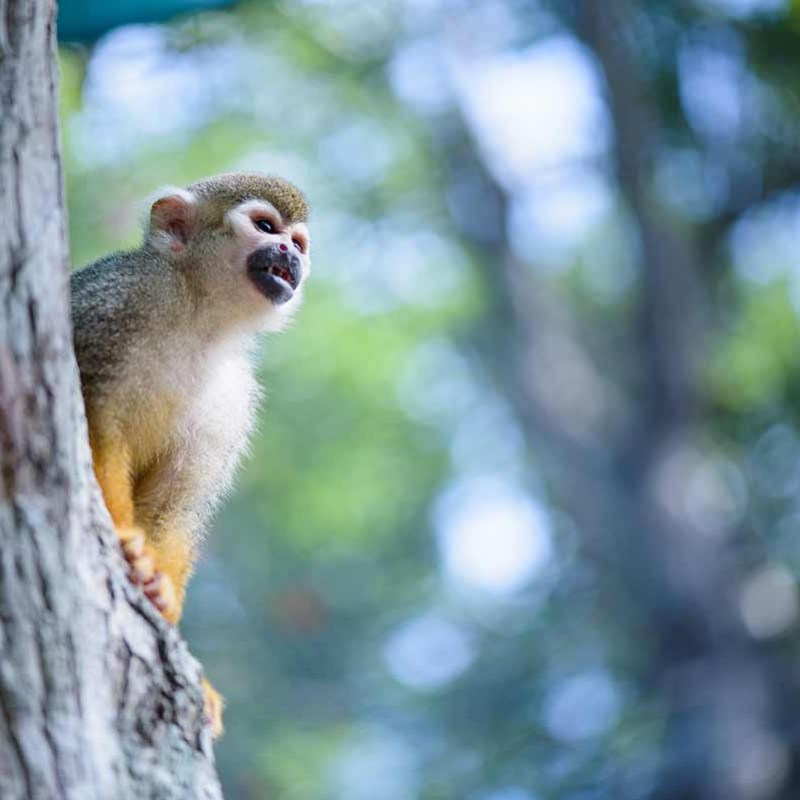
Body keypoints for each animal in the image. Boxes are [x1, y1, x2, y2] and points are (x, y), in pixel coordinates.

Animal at [70, 173, 311, 736]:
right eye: (266, 227)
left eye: (299, 243)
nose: (289, 253)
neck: (198, 313)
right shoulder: (113, 299)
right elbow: (93, 422)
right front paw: (126, 544)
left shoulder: (234, 397)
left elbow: (174, 502)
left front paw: (160, 596)